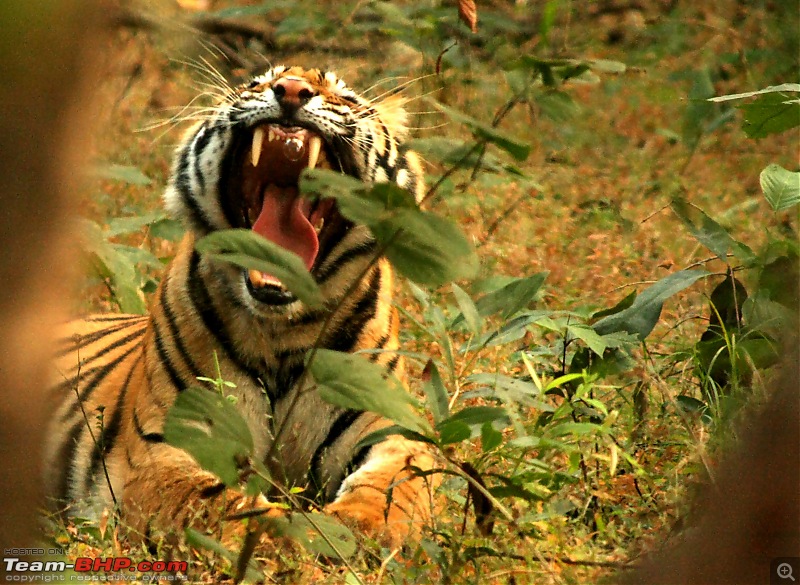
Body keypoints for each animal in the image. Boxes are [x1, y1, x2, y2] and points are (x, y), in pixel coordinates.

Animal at [43, 66, 438, 548]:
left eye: (342, 95)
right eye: (259, 82)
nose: (291, 90)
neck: (285, 331)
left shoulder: (391, 428)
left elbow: (395, 486)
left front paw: (357, 528)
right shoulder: (169, 445)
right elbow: (223, 507)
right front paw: (296, 539)